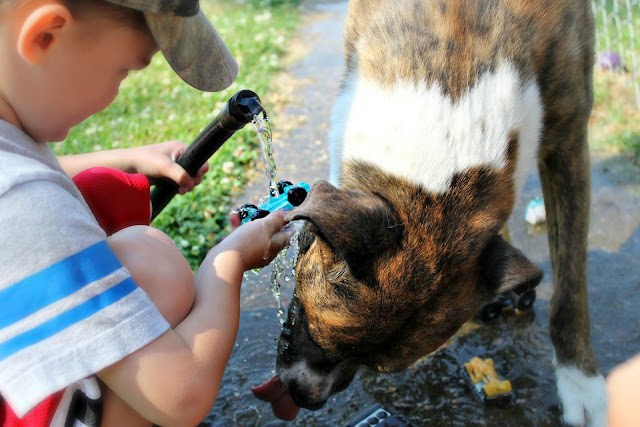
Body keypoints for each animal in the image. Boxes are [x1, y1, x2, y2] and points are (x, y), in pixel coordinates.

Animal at [263, 0, 606, 424]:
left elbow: (572, 287)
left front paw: (581, 385)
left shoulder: (570, 140)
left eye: (379, 366)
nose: (305, 398)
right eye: (308, 326)